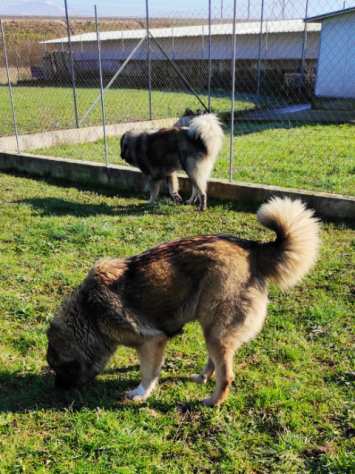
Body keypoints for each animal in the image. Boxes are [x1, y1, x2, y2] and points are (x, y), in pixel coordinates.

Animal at [46, 198, 322, 406]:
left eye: (58, 367)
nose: (57, 390)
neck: (89, 313)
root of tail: (252, 249)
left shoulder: (152, 341)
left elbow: (148, 372)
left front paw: (140, 393)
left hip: (216, 331)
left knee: (226, 375)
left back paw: (213, 401)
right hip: (211, 328)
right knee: (213, 363)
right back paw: (201, 378)